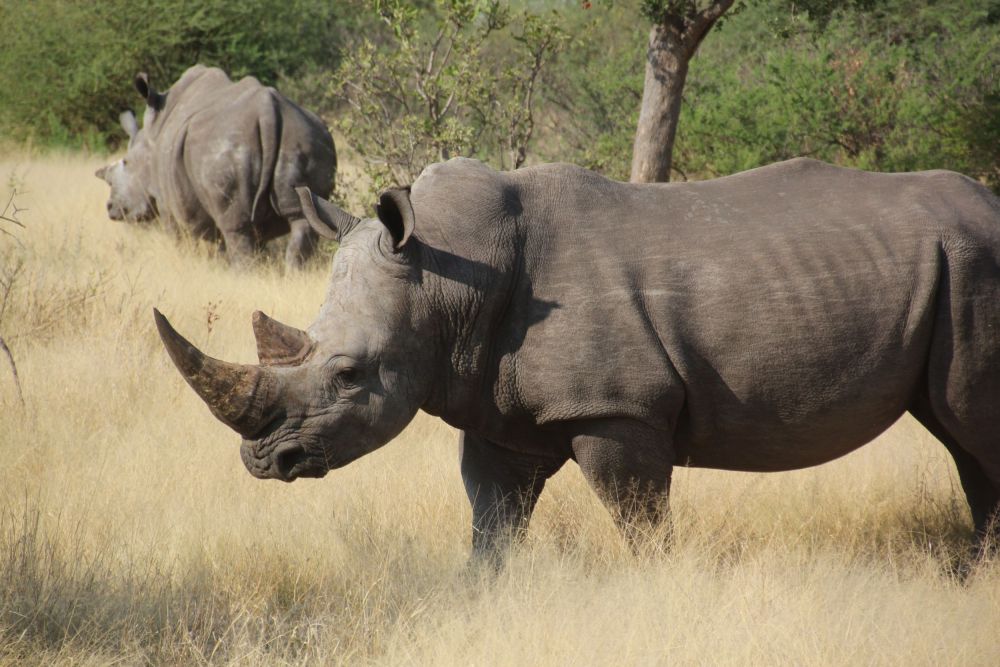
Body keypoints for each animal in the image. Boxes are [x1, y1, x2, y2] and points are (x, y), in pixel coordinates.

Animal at [96, 65, 336, 269]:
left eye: (125, 163)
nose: (110, 208)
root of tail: (268, 111)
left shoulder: (165, 200)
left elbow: (178, 237)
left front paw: (185, 262)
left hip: (223, 151)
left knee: (236, 228)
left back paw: (242, 277)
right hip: (304, 139)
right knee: (301, 220)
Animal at [153, 157, 1000, 562]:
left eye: (349, 375)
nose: (263, 460)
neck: (449, 278)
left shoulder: (617, 409)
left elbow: (640, 523)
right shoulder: (495, 408)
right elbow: (491, 525)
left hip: (974, 264)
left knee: (971, 426)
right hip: (951, 265)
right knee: (964, 440)